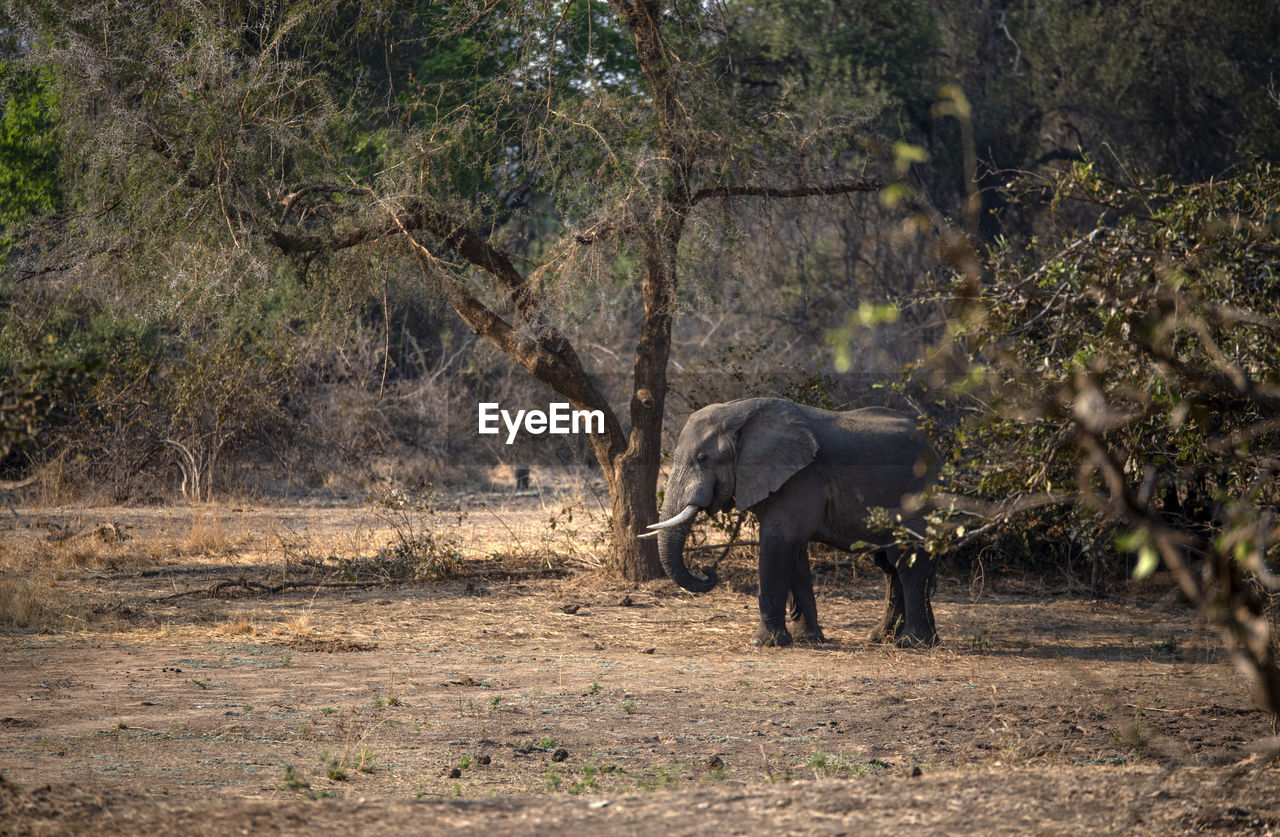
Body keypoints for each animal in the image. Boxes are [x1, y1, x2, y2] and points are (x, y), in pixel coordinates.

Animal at [640, 399, 942, 650]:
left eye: (703, 459)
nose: (706, 570)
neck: (740, 413)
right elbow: (794, 550)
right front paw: (806, 639)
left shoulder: (800, 477)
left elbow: (777, 543)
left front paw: (764, 643)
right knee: (890, 565)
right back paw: (886, 637)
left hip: (918, 494)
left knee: (908, 561)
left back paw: (911, 643)